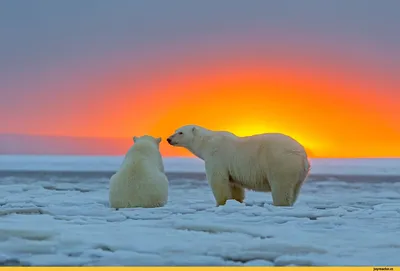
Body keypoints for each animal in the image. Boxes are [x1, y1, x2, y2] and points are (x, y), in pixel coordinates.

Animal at [167, 126, 310, 208]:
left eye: (180, 132)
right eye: (175, 131)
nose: (169, 139)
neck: (206, 143)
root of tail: (302, 156)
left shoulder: (217, 156)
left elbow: (218, 181)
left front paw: (220, 203)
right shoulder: (231, 167)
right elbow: (234, 185)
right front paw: (236, 201)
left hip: (281, 163)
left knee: (281, 188)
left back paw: (279, 204)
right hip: (298, 173)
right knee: (294, 190)